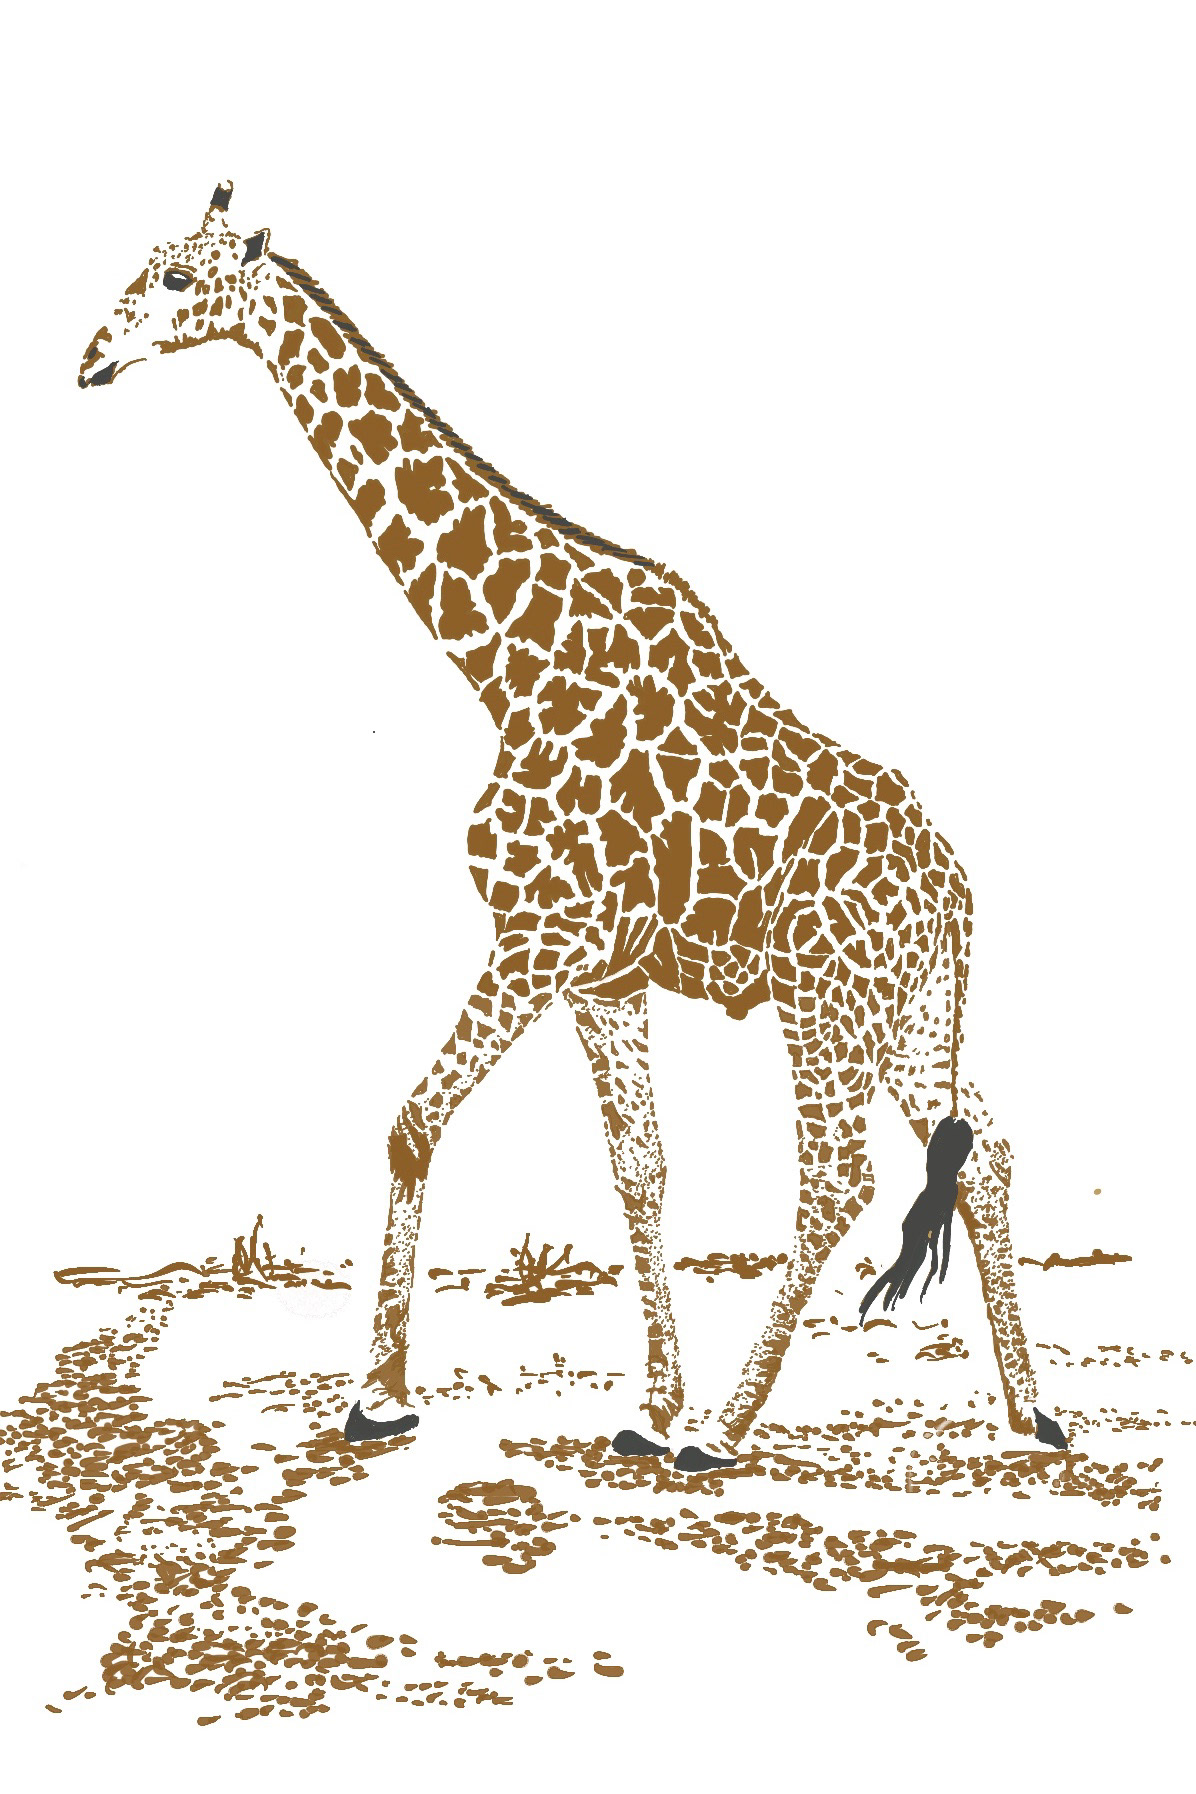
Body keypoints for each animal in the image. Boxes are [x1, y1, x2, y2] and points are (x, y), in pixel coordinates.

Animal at [79, 182, 1069, 1470]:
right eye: (147, 265)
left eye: (179, 282)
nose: (92, 358)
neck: (503, 663)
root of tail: (954, 888)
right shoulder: (602, 973)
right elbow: (640, 1170)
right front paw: (645, 1406)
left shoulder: (536, 936)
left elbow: (410, 1124)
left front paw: (378, 1396)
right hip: (908, 1011)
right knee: (982, 1151)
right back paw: (1028, 1410)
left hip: (824, 1000)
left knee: (836, 1178)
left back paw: (728, 1430)